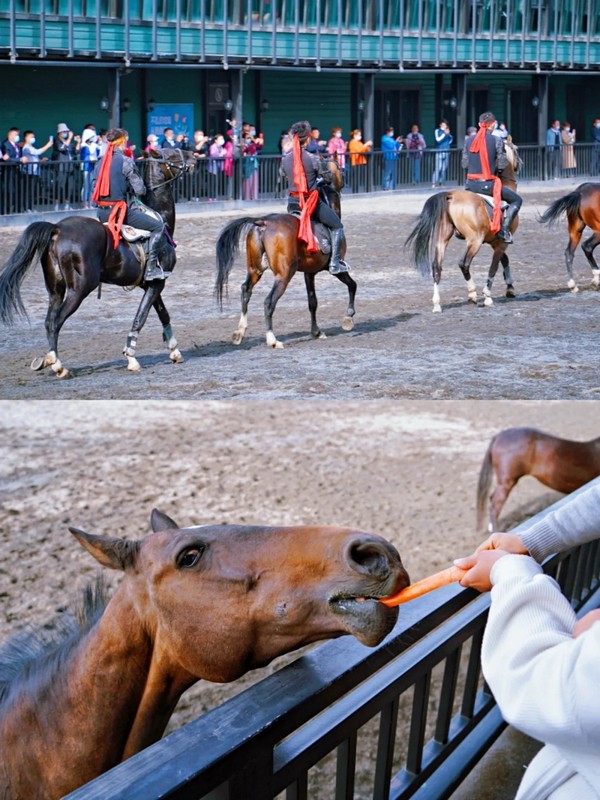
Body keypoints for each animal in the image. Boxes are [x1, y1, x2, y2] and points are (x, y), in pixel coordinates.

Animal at [0, 148, 195, 380]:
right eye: (172, 154)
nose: (193, 156)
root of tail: (57, 228)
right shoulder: (157, 283)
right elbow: (141, 317)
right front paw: (131, 357)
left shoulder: (151, 284)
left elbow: (162, 313)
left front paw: (174, 350)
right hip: (80, 289)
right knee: (57, 321)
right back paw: (58, 365)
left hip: (55, 290)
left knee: (49, 321)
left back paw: (50, 359)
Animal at [216, 161, 356, 348]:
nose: (345, 178)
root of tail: (263, 222)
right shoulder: (336, 269)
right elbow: (352, 285)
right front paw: (348, 318)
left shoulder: (309, 273)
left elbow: (313, 302)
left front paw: (316, 332)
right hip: (284, 275)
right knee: (269, 302)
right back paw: (272, 339)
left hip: (255, 270)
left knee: (246, 291)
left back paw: (239, 332)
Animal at [408, 141, 520, 312]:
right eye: (516, 150)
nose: (519, 164)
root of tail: (451, 195)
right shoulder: (501, 242)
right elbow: (494, 266)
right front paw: (488, 296)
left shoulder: (495, 242)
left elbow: (504, 260)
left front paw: (510, 288)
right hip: (474, 241)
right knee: (464, 263)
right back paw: (472, 294)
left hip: (442, 239)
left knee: (437, 267)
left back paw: (437, 304)